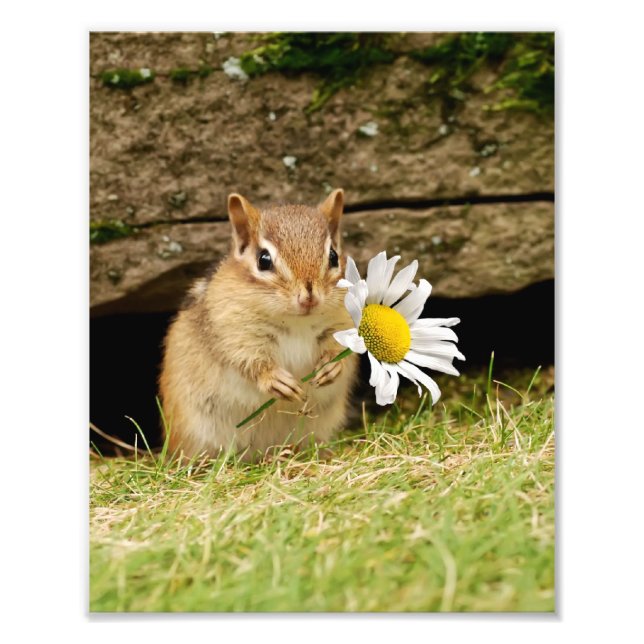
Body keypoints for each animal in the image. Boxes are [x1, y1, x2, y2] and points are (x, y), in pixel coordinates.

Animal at [158, 189, 358, 461]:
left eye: (333, 257)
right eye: (264, 260)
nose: (309, 296)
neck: (297, 322)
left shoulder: (342, 323)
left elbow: (342, 351)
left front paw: (331, 368)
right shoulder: (235, 332)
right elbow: (249, 361)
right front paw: (276, 381)